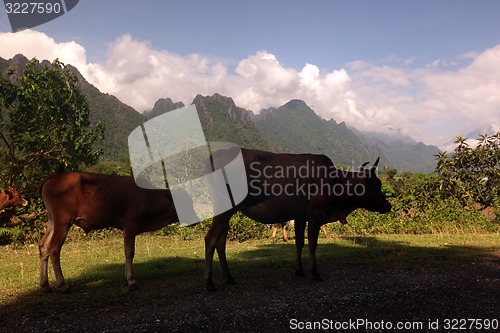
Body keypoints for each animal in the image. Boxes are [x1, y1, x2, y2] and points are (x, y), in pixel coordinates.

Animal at [38, 171, 197, 290]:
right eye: (182, 202)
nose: (195, 219)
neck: (148, 196)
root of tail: (55, 177)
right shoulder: (130, 224)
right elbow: (129, 251)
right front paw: (131, 280)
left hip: (52, 221)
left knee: (43, 246)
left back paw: (45, 284)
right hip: (63, 222)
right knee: (54, 249)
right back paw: (63, 285)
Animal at [203, 148, 390, 290]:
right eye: (377, 184)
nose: (388, 206)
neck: (335, 181)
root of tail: (215, 156)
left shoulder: (300, 217)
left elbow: (299, 243)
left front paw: (299, 270)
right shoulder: (315, 215)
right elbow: (312, 244)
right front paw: (315, 272)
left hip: (227, 212)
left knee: (220, 241)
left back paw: (229, 277)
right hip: (224, 210)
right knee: (211, 239)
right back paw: (209, 282)